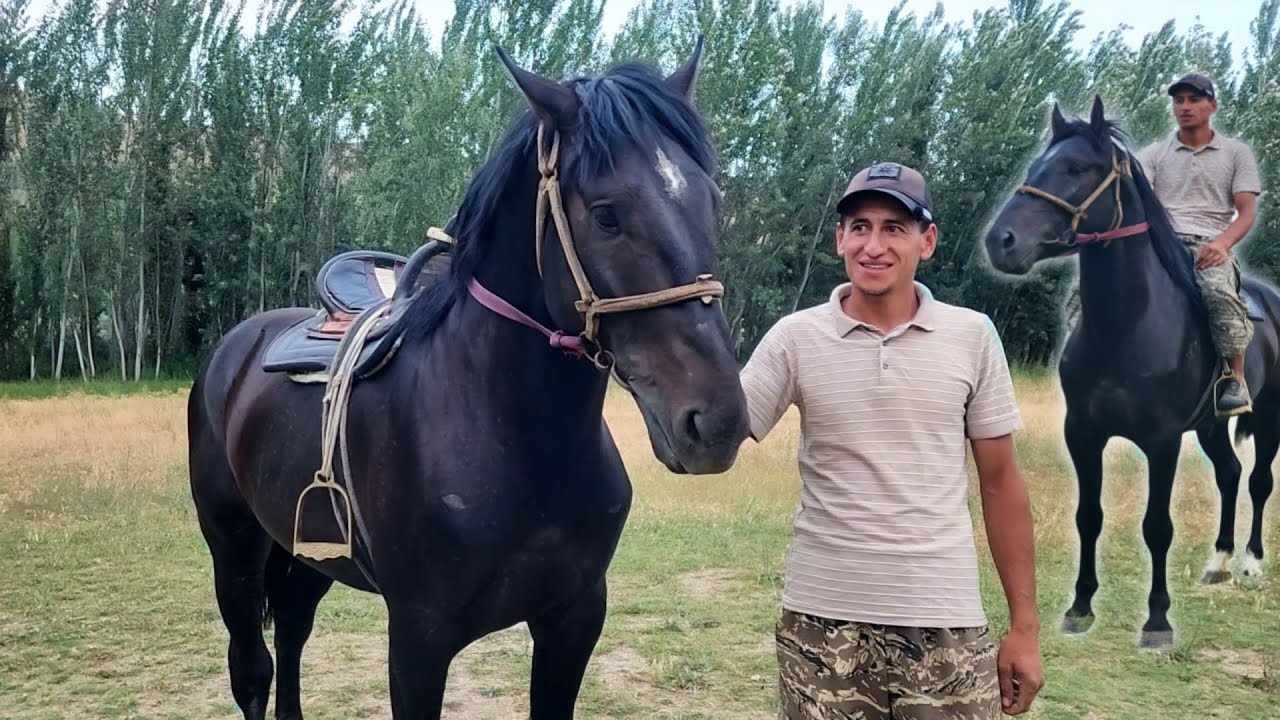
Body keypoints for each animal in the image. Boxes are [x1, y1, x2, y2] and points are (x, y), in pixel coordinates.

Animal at [187, 42, 750, 719]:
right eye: (607, 215)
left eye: (712, 203)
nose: (716, 422)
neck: (517, 444)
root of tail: (236, 348)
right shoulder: (418, 640)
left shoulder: (575, 618)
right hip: (233, 547)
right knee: (252, 669)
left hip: (309, 553)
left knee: (294, 630)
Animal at [983, 96, 1278, 648]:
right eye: (1034, 168)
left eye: (1077, 168)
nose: (1001, 241)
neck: (1127, 326)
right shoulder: (1082, 433)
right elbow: (1088, 517)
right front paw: (1079, 607)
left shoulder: (1162, 440)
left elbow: (1157, 526)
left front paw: (1158, 621)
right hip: (1210, 426)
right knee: (1229, 474)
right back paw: (1218, 562)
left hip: (1269, 417)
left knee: (1259, 480)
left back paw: (1250, 564)